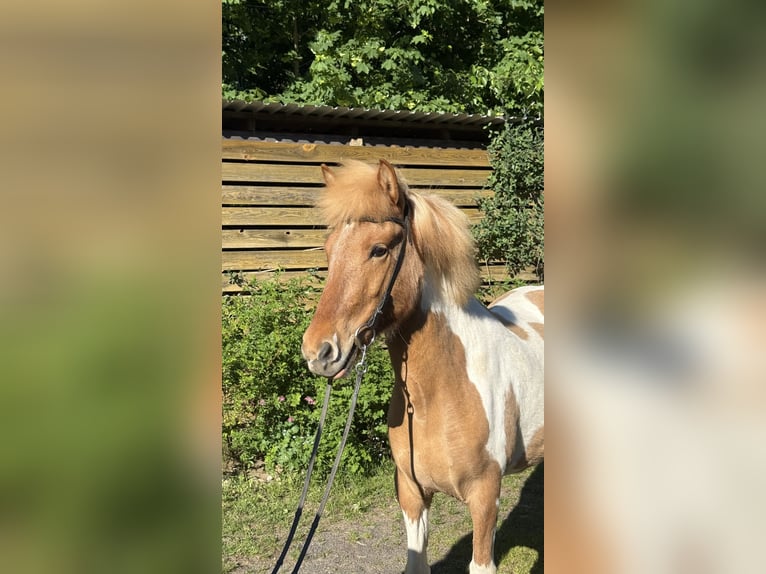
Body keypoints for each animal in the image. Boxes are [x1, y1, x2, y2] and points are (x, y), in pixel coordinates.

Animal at [301, 159, 544, 574]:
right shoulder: (411, 493)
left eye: (379, 250)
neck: (440, 393)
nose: (318, 351)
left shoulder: (486, 498)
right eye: (329, 250)